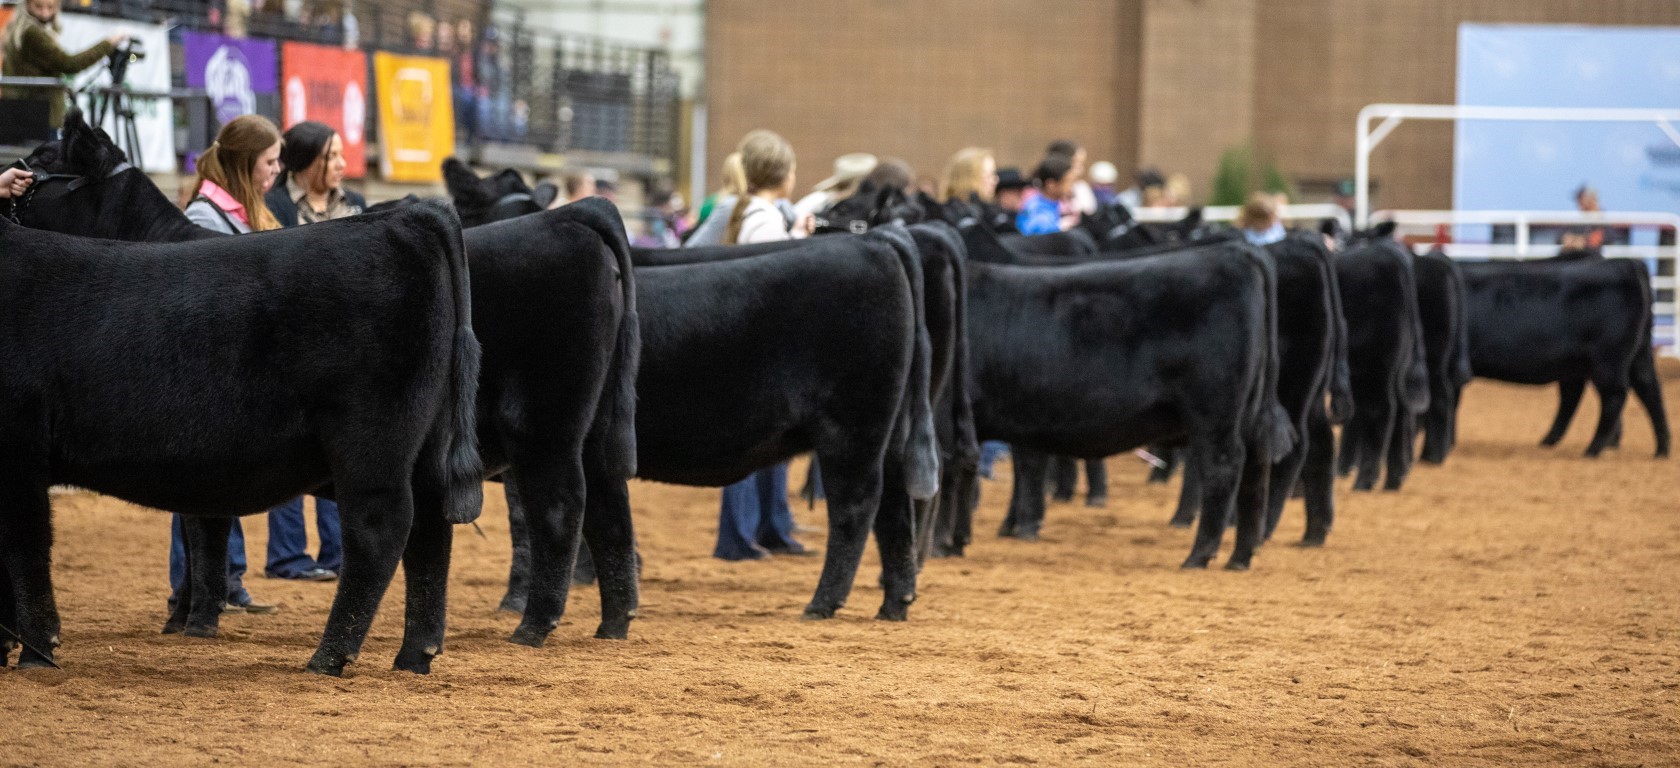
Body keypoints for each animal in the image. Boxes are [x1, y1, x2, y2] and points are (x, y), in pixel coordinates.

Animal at [1, 200, 487, 672]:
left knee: (380, 526)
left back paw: (329, 657)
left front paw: (35, 652)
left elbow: (25, 544)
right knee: (430, 529)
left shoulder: (19, 445)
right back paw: (414, 656)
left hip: (370, 439)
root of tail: (405, 217)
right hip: (427, 442)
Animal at [1458, 253, 1666, 453]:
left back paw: (1594, 448)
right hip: (1630, 355)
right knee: (1648, 388)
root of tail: (1627, 263)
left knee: (1614, 394)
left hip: (1608, 358)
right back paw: (1661, 448)